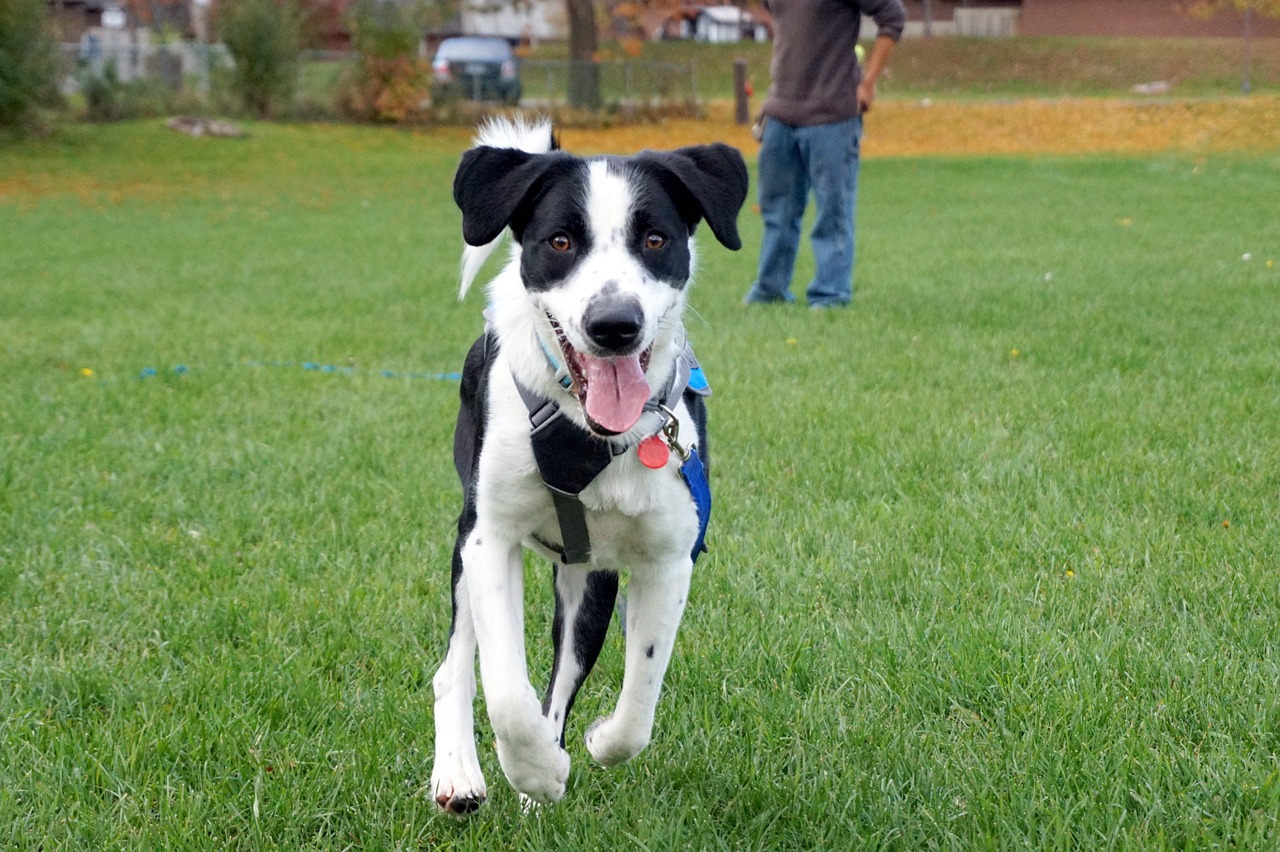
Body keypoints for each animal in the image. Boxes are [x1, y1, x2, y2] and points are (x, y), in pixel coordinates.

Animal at [432, 116, 747, 813]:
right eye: (560, 241)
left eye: (655, 238)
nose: (614, 324)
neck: (588, 433)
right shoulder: (489, 538)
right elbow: (506, 689)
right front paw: (531, 768)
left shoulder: (668, 557)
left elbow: (637, 703)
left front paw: (587, 749)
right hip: (465, 541)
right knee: (454, 667)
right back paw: (461, 774)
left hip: (589, 581)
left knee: (562, 681)